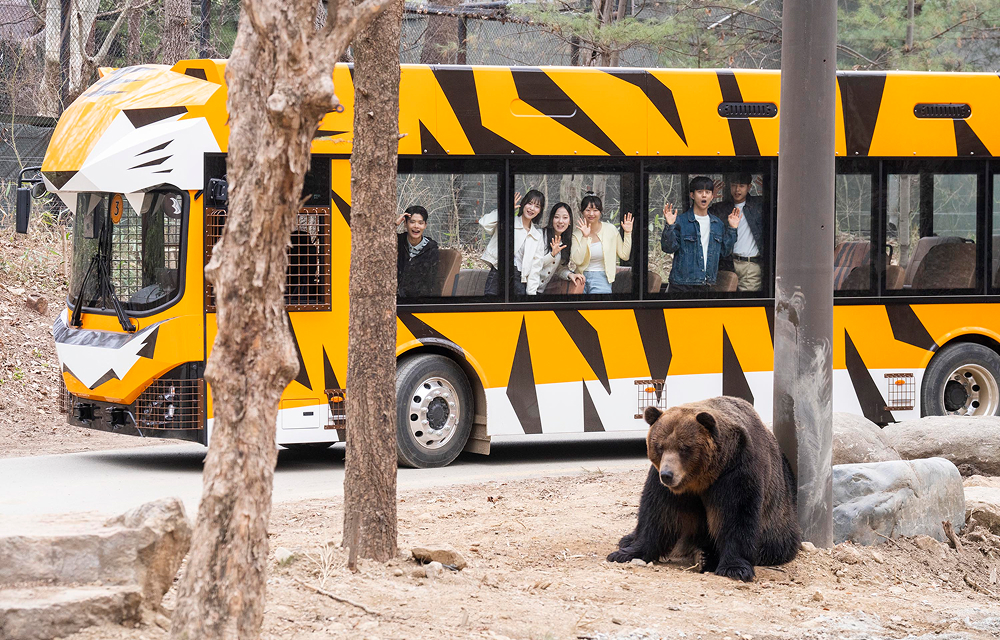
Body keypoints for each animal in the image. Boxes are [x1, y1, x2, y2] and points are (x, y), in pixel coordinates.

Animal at [607, 396, 800, 581]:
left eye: (684, 447)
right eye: (660, 446)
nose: (667, 475)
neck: (700, 479)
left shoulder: (736, 471)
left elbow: (736, 515)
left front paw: (734, 568)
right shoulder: (664, 484)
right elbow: (658, 514)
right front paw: (623, 554)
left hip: (778, 522)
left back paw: (705, 557)